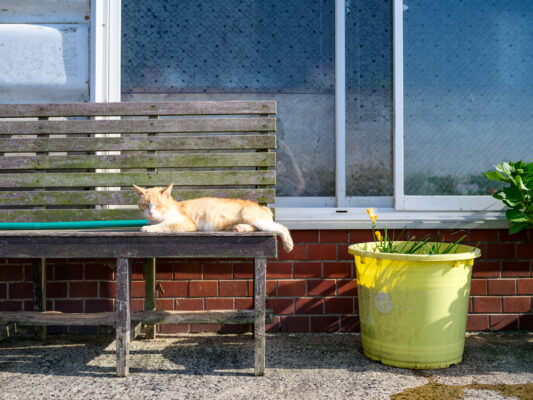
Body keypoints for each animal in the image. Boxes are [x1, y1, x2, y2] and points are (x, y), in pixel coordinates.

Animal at [131, 183, 294, 252]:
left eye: (158, 205)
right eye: (145, 205)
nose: (151, 213)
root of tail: (262, 206)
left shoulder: (187, 223)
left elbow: (165, 225)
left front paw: (147, 228)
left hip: (252, 217)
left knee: (281, 227)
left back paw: (288, 245)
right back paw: (240, 227)